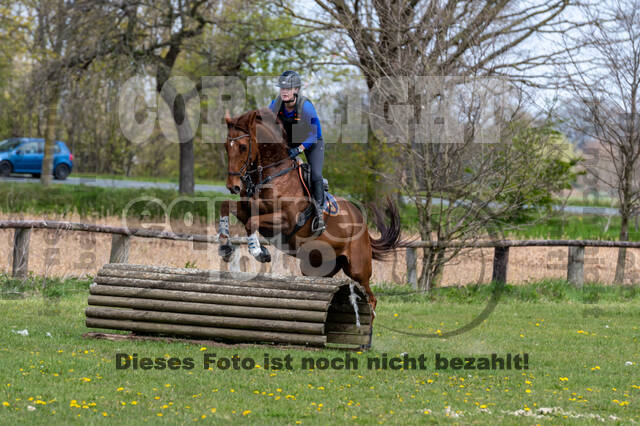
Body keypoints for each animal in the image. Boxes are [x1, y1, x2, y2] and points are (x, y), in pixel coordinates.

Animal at [218, 107, 402, 316]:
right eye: (226, 146)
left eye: (242, 147)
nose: (232, 186)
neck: (272, 175)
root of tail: (360, 220)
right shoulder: (246, 208)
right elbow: (226, 206)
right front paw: (225, 247)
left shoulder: (287, 221)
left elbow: (252, 222)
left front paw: (259, 251)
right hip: (317, 265)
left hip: (358, 268)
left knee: (371, 298)